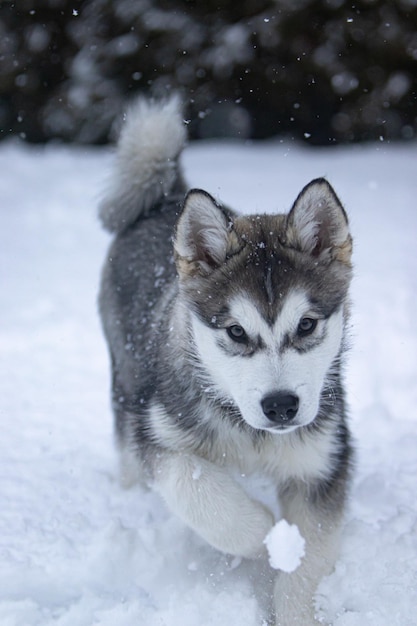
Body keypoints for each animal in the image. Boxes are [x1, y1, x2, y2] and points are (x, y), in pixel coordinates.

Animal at [99, 95, 352, 620]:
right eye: (236, 331)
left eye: (306, 325)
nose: (281, 406)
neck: (252, 436)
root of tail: (166, 196)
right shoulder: (161, 437)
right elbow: (197, 490)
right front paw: (265, 537)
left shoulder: (323, 460)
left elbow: (309, 559)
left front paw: (291, 588)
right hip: (124, 382)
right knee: (128, 448)